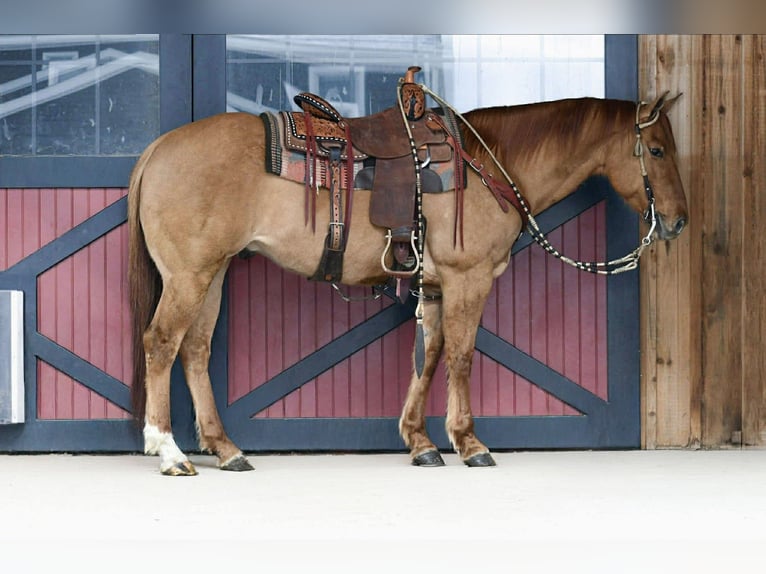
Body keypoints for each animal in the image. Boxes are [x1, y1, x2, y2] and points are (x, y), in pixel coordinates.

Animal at [128, 87, 688, 476]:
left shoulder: (436, 287)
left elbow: (431, 354)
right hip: (189, 275)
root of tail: (159, 147)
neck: (488, 164)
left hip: (213, 272)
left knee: (195, 349)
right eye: (658, 151)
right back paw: (169, 451)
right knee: (162, 343)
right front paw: (470, 443)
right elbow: (461, 356)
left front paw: (420, 443)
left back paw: (226, 449)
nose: (678, 221)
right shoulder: (468, 279)